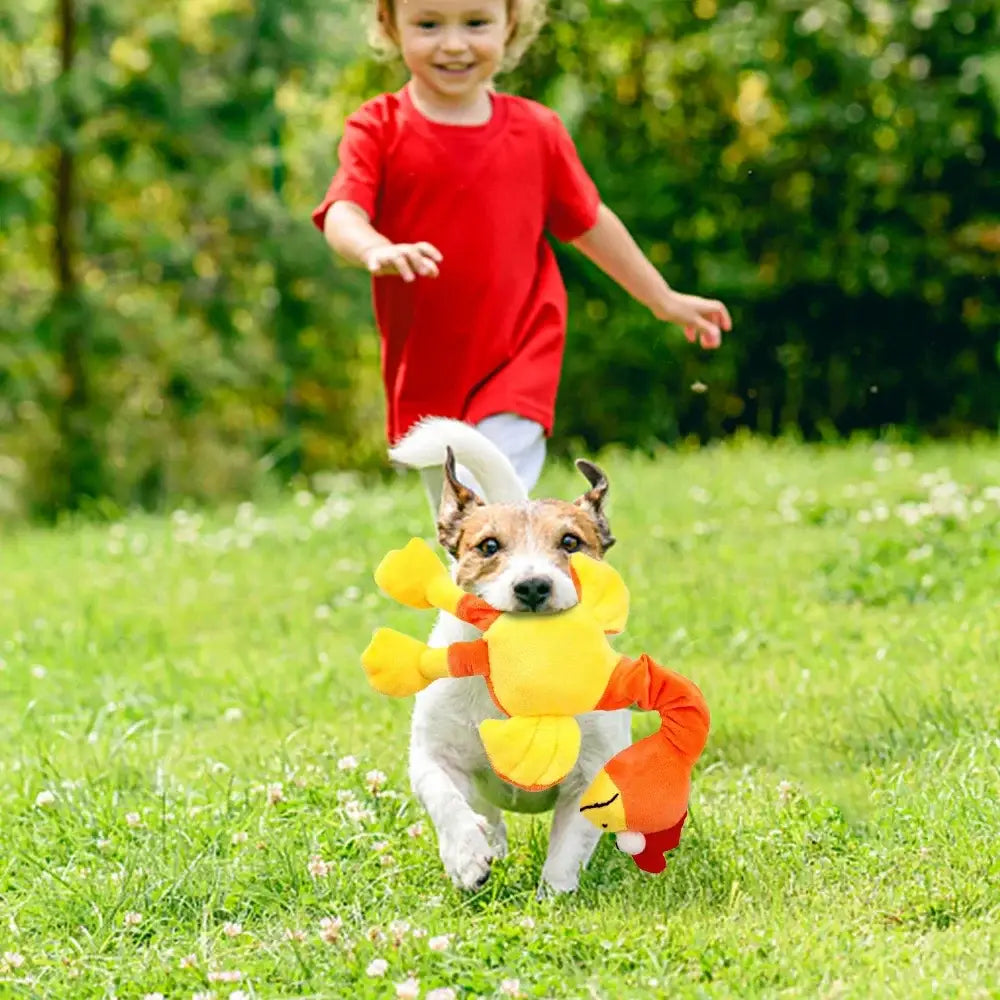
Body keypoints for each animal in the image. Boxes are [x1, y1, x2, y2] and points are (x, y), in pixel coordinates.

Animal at [386, 418, 628, 896]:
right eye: (488, 547)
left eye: (570, 541)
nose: (532, 585)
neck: (522, 670)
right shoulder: (433, 753)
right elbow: (444, 796)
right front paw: (467, 858)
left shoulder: (589, 774)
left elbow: (568, 844)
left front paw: (553, 894)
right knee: (487, 815)